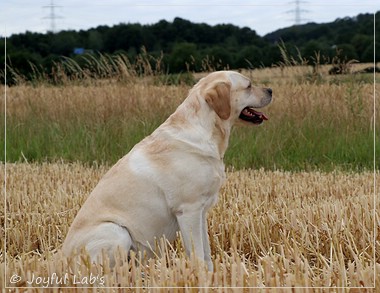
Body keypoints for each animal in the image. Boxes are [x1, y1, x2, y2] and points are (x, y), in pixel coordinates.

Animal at [62, 70, 272, 270]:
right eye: (249, 86)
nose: (270, 90)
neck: (205, 129)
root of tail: (57, 260)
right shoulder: (188, 209)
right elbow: (197, 255)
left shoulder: (201, 211)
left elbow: (206, 253)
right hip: (116, 231)